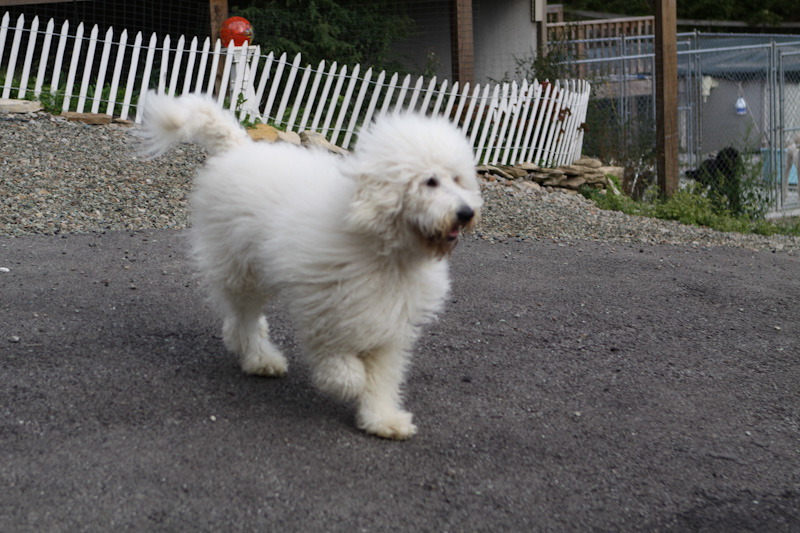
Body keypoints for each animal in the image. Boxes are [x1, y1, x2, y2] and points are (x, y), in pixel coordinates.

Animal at [141, 93, 484, 438]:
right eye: (430, 181)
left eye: (457, 179)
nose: (466, 213)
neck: (384, 247)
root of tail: (239, 147)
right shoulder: (322, 307)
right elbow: (342, 364)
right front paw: (347, 382)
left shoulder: (389, 321)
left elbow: (383, 375)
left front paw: (382, 418)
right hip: (239, 268)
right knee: (245, 316)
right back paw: (259, 357)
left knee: (239, 317)